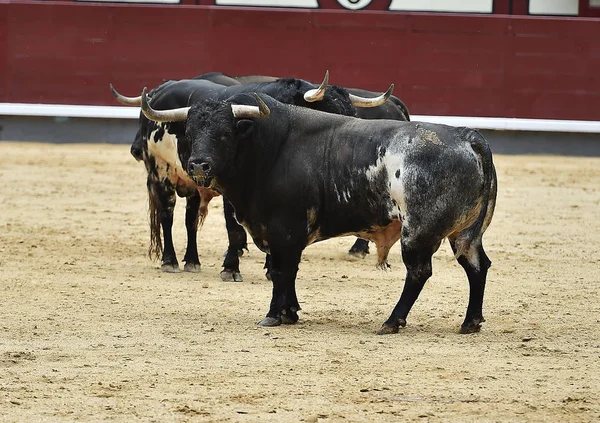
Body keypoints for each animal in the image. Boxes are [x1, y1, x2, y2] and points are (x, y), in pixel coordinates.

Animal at [145, 92, 496, 334]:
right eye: (190, 132)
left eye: (225, 133)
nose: (198, 165)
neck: (267, 149)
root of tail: (468, 136)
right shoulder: (282, 235)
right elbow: (286, 271)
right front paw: (290, 312)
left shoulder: (284, 229)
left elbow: (282, 271)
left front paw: (274, 314)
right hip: (463, 233)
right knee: (476, 265)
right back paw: (470, 322)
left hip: (419, 231)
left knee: (419, 272)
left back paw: (392, 321)